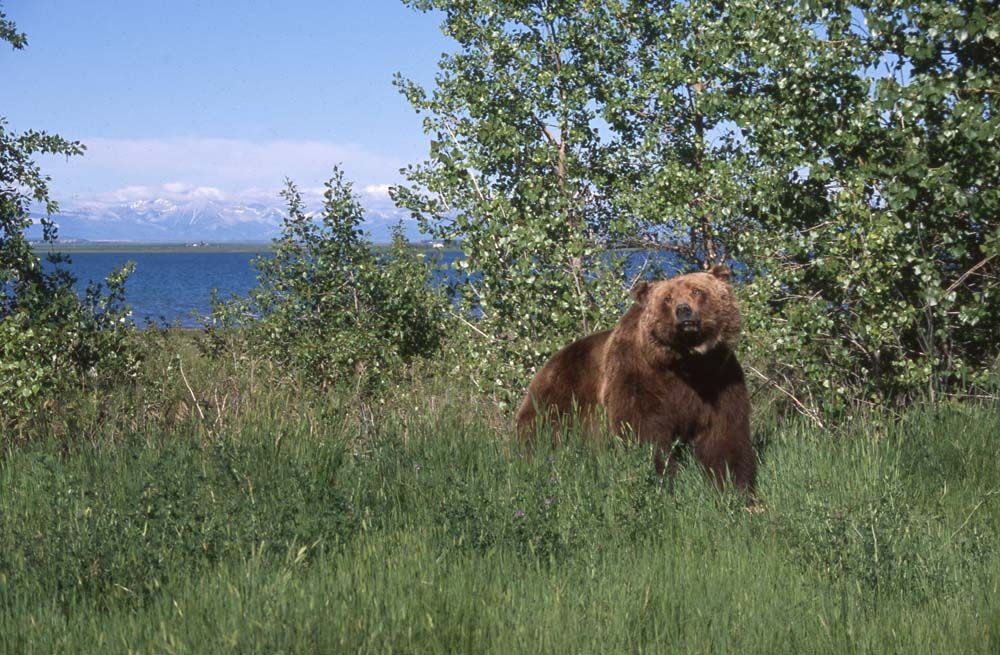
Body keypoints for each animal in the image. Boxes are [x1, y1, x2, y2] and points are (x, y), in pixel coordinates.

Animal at [515, 265, 755, 494]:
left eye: (697, 290)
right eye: (667, 298)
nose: (683, 310)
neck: (685, 362)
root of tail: (548, 362)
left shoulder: (718, 379)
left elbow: (724, 434)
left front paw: (733, 485)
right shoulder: (639, 374)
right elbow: (641, 429)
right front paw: (664, 477)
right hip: (561, 397)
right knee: (539, 434)